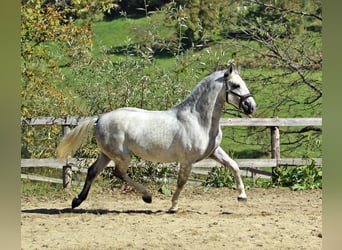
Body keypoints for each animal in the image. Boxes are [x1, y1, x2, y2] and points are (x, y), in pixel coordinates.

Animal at [56, 63, 255, 212]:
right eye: (235, 85)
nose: (251, 106)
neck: (198, 120)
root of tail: (99, 118)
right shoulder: (187, 160)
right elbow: (181, 182)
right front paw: (173, 206)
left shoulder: (214, 152)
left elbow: (234, 166)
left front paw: (242, 196)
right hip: (122, 155)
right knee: (118, 173)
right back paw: (147, 196)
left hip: (107, 154)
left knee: (93, 171)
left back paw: (77, 201)